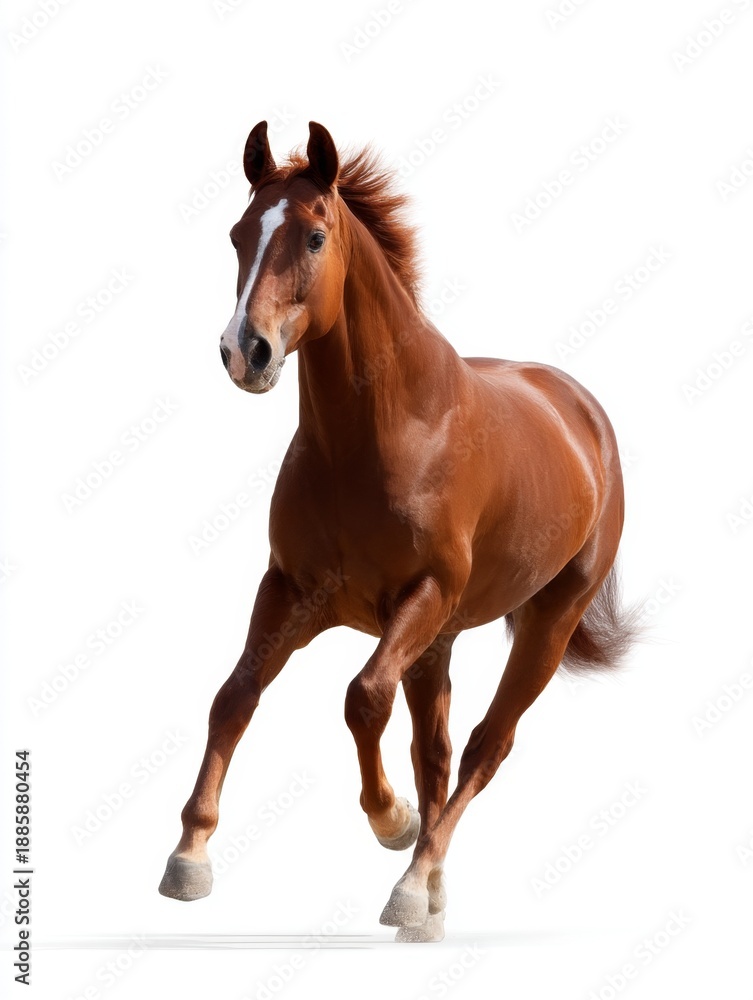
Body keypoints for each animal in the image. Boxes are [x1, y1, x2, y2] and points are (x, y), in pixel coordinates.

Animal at [158, 121, 636, 942]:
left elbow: (361, 698)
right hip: (438, 642)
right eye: (238, 234)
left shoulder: (421, 596)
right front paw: (189, 856)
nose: (244, 352)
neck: (381, 434)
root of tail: (581, 411)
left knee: (484, 746)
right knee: (435, 750)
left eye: (315, 236)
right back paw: (431, 898)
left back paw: (414, 880)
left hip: (543, 622)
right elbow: (236, 693)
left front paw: (391, 822)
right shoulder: (291, 589)